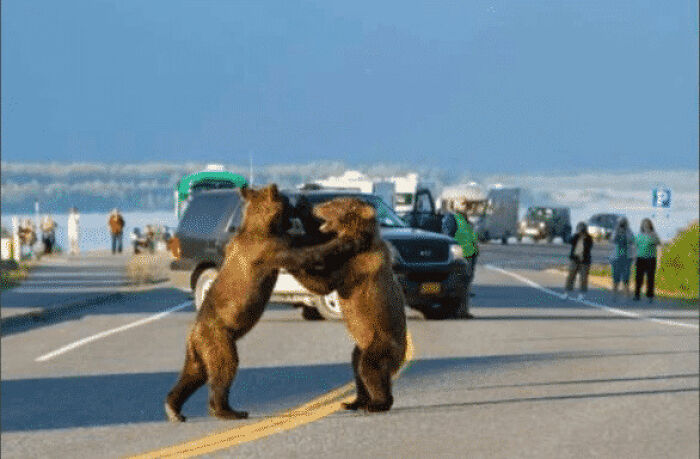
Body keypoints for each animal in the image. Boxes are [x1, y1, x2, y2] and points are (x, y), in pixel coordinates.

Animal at [165, 184, 293, 422]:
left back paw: (174, 408)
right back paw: (226, 410)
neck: (260, 225)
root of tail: (193, 333)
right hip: (218, 338)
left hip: (199, 350)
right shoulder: (266, 248)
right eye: (288, 202)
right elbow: (292, 252)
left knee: (193, 374)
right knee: (224, 367)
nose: (293, 219)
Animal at [274, 197, 407, 412]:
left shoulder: (356, 265)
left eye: (333, 204)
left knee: (369, 368)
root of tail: (401, 358)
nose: (314, 207)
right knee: (356, 364)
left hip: (382, 342)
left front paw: (286, 259)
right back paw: (354, 401)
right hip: (363, 344)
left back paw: (378, 403)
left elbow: (323, 283)